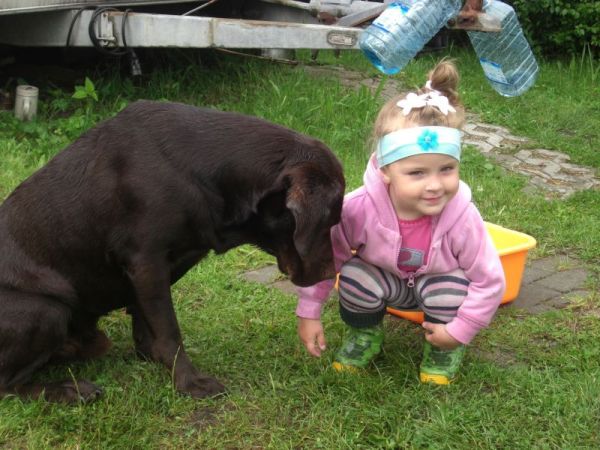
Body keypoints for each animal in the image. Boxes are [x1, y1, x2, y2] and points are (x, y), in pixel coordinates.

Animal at [0, 100, 344, 402]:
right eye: (328, 220)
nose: (333, 273)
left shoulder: (156, 266)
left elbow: (146, 319)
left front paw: (151, 356)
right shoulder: (146, 261)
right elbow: (168, 330)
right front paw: (189, 382)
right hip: (46, 309)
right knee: (8, 383)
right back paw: (68, 390)